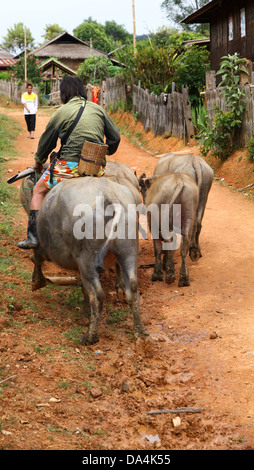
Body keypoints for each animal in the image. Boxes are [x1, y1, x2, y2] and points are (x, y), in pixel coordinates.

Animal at [30, 176, 148, 346]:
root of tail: (110, 196)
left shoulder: (41, 244)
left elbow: (37, 258)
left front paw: (37, 282)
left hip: (87, 259)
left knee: (98, 295)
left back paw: (90, 335)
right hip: (128, 250)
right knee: (132, 287)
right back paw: (140, 331)